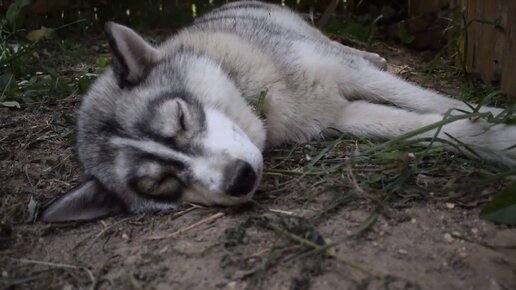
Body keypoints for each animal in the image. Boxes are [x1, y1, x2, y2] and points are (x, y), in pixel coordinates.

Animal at [41, 1, 516, 222]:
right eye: (162, 184)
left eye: (180, 116)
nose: (240, 179)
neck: (260, 95)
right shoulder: (342, 117)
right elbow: (432, 126)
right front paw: (492, 139)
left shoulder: (348, 76)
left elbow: (437, 103)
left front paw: (497, 121)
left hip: (313, 38)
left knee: (342, 46)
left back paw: (372, 53)